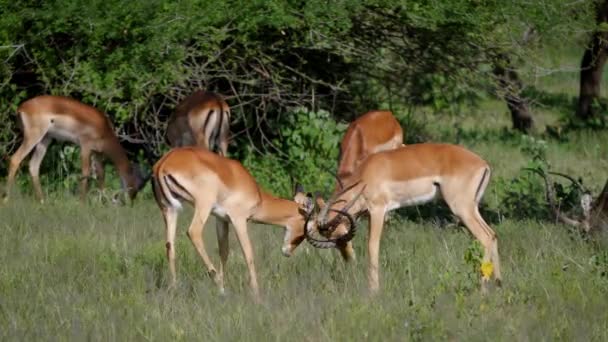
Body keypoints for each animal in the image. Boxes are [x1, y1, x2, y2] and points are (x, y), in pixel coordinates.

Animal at [3, 95, 147, 203]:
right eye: (135, 186)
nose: (130, 202)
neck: (103, 128)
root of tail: (21, 108)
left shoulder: (97, 153)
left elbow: (101, 175)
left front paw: (103, 201)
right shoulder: (85, 147)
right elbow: (85, 173)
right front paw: (82, 203)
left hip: (45, 140)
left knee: (33, 166)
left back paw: (43, 201)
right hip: (33, 137)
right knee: (15, 159)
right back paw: (7, 200)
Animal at [150, 146, 340, 300]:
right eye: (308, 229)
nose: (288, 252)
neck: (259, 196)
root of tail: (163, 164)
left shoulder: (221, 219)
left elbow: (224, 251)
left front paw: (223, 288)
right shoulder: (239, 219)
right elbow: (248, 253)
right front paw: (256, 293)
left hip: (169, 209)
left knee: (170, 246)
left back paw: (176, 288)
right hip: (202, 206)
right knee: (193, 232)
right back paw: (215, 280)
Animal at [302, 144, 498, 294]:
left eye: (340, 235)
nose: (349, 259)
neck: (366, 175)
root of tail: (483, 164)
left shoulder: (378, 210)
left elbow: (372, 246)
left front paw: (373, 291)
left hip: (462, 209)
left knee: (486, 237)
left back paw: (483, 290)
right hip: (472, 208)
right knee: (493, 235)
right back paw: (499, 283)